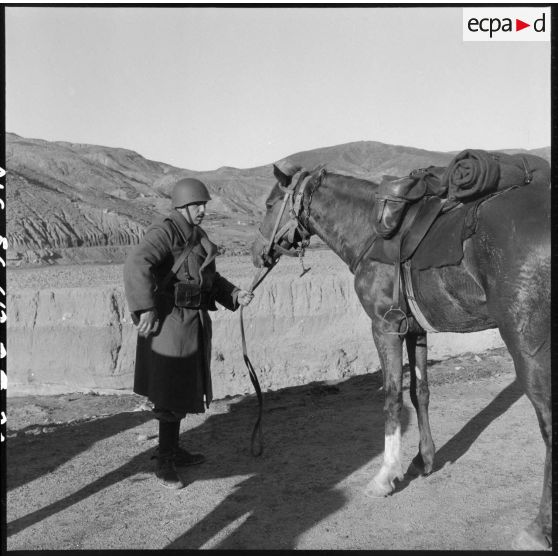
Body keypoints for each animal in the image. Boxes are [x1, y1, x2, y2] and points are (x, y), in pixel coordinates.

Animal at [252, 161, 552, 552]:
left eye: (270, 204)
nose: (257, 252)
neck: (369, 232)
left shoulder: (385, 327)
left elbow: (393, 397)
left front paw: (386, 475)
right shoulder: (414, 330)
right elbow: (419, 392)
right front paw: (424, 460)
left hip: (527, 343)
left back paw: (538, 529)